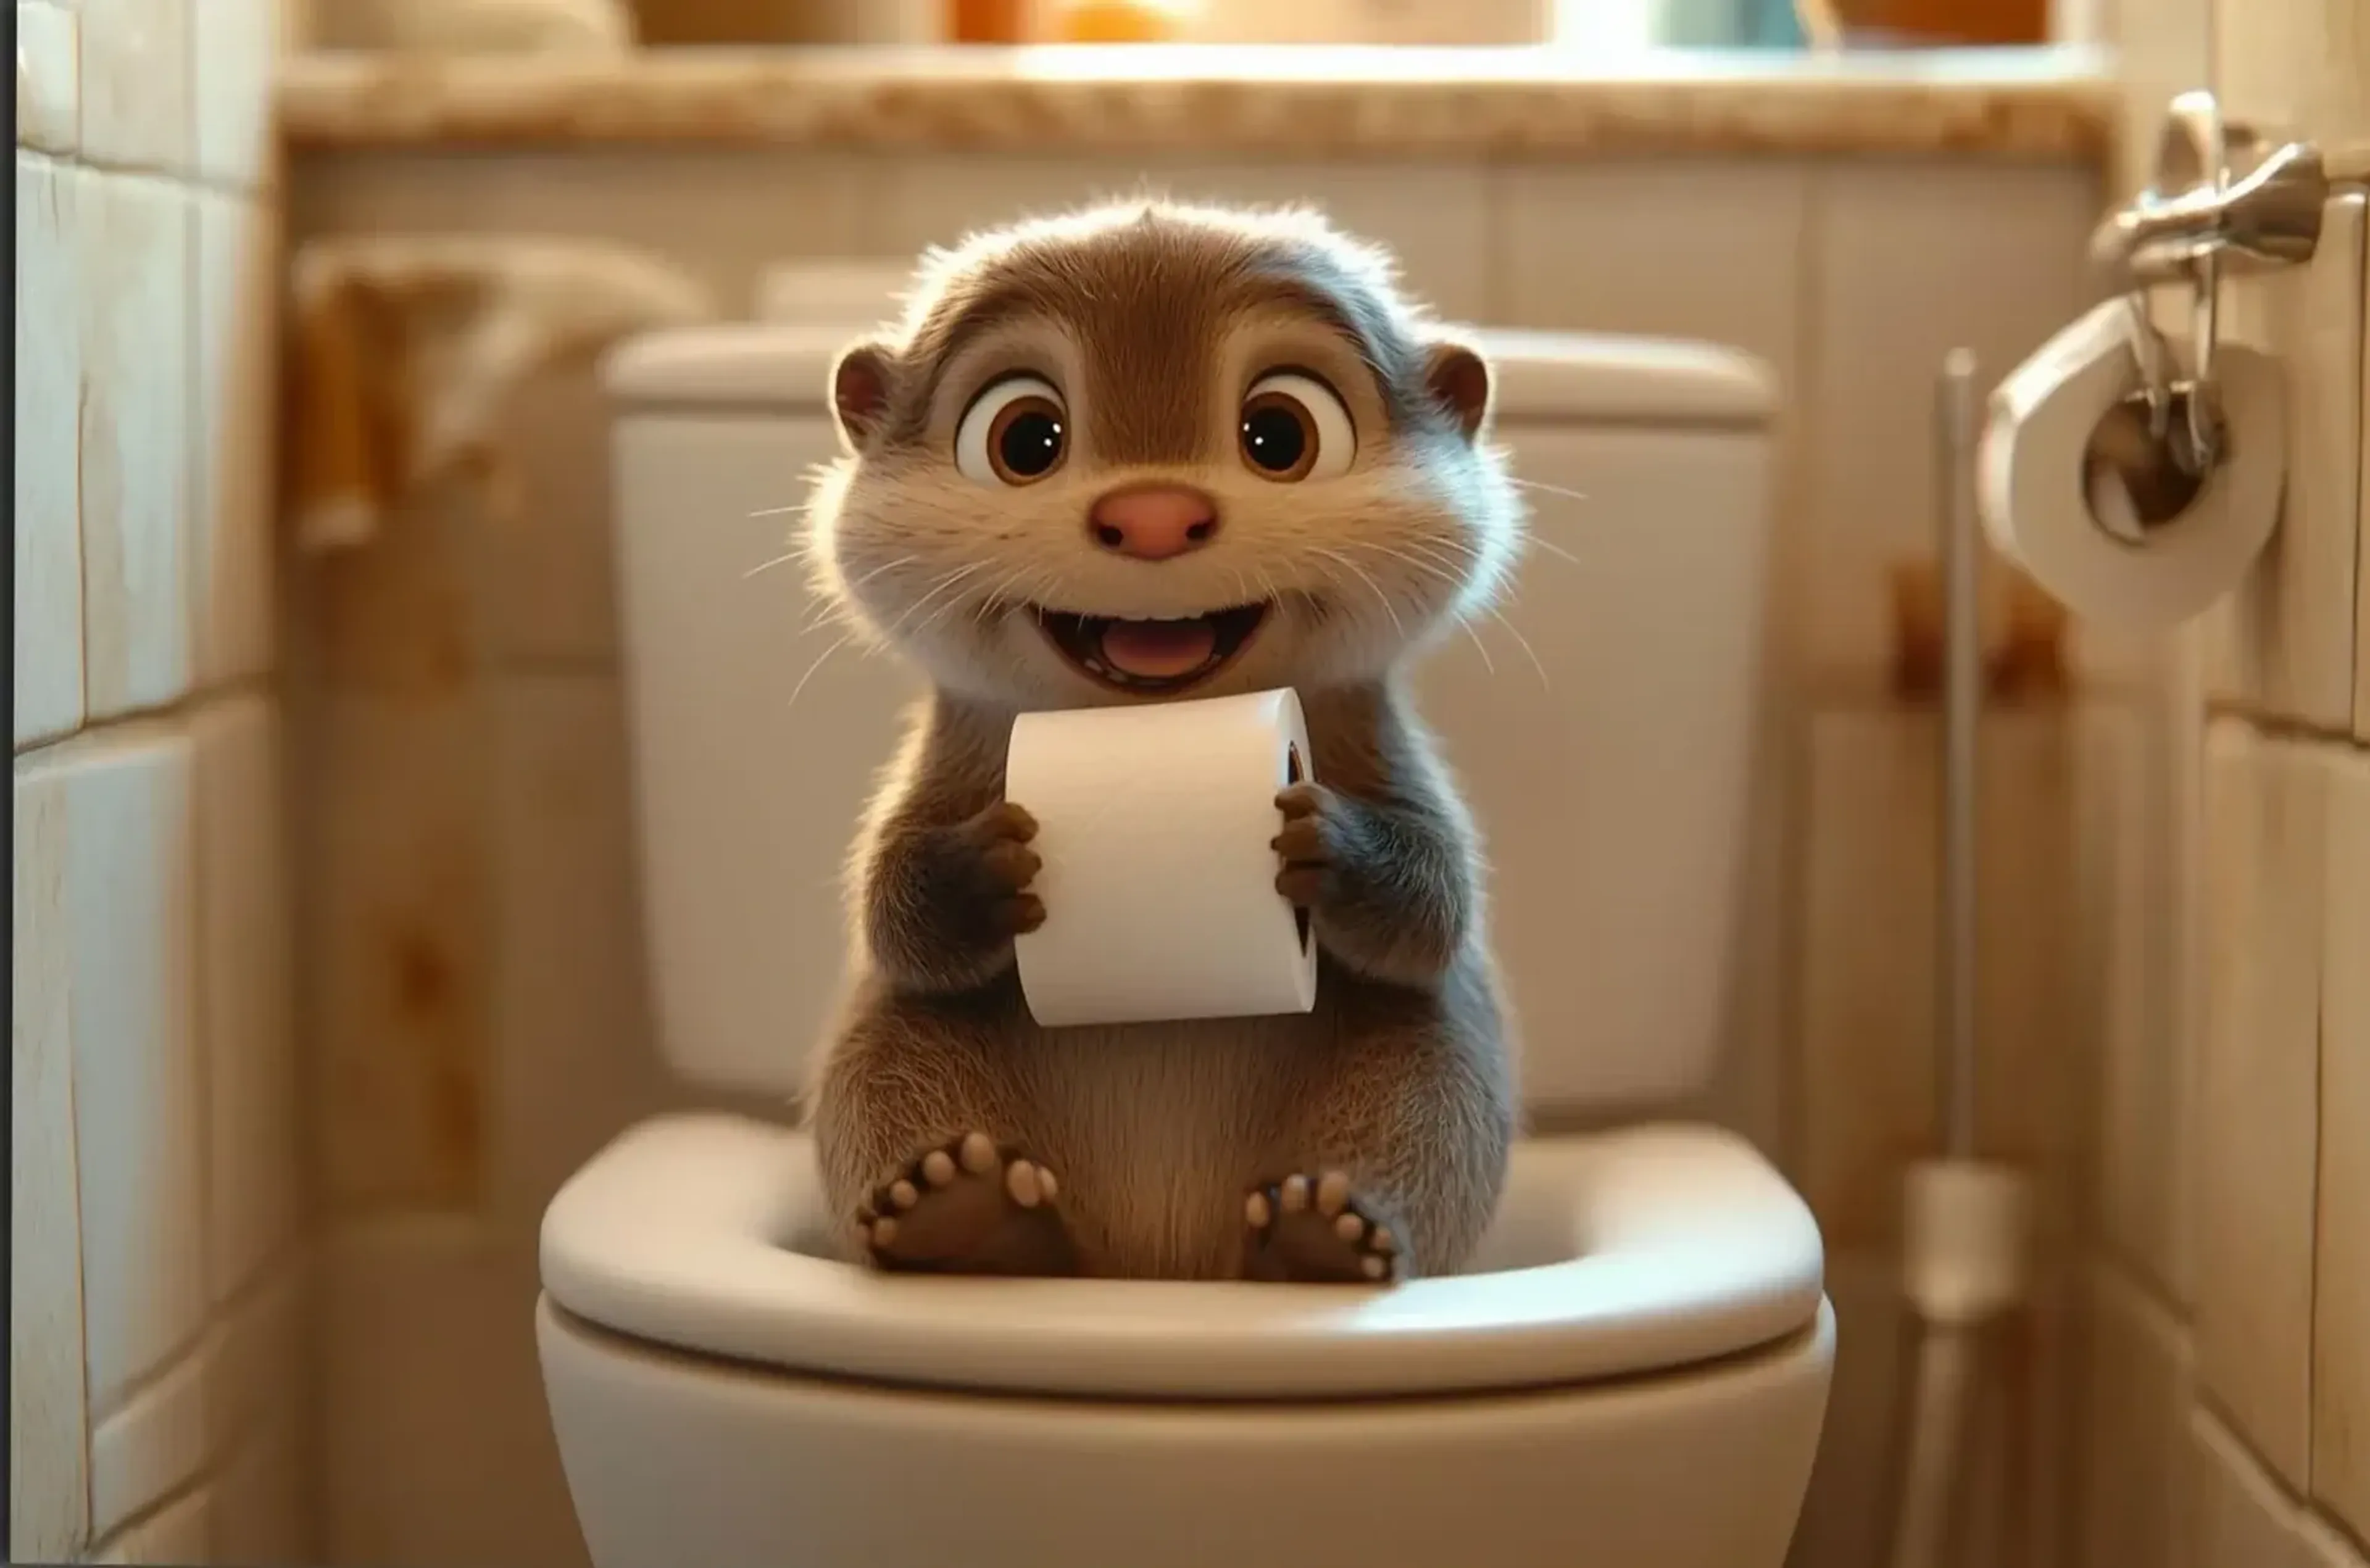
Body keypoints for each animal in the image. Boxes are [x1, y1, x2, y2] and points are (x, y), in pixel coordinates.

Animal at [800, 199, 1526, 1284]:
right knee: (891, 1053)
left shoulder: (1385, 751)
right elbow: (896, 916)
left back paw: (1326, 1230)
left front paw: (1331, 845)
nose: (1152, 516)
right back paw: (960, 1214)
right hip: (894, 1058)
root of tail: (1156, 1262)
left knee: (1430, 1075)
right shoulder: (949, 762)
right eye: (1026, 438)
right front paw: (978, 867)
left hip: (1424, 1068)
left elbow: (1435, 906)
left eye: (1280, 433)